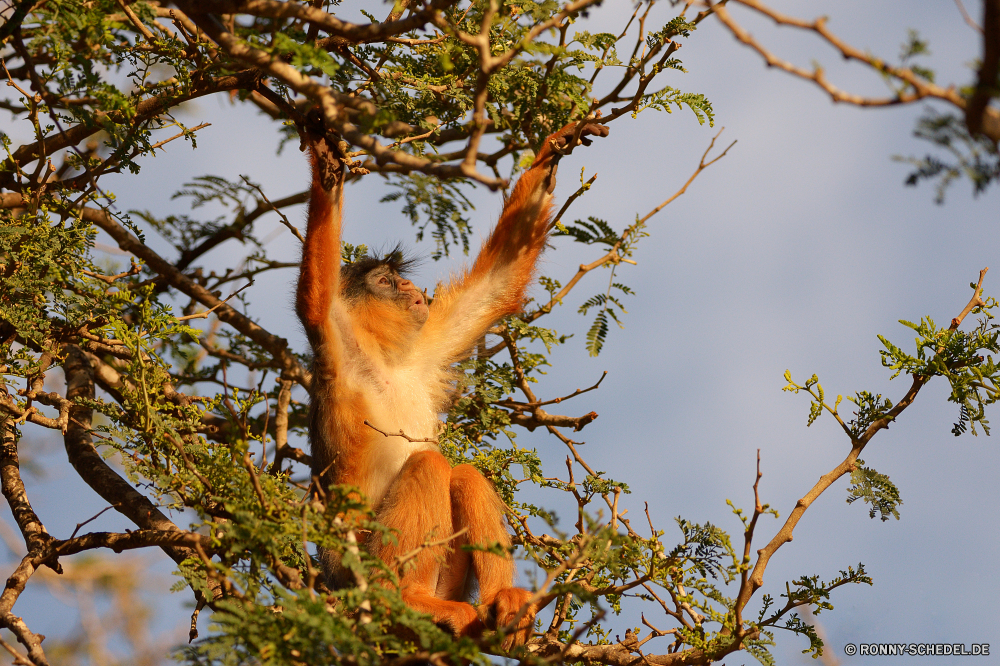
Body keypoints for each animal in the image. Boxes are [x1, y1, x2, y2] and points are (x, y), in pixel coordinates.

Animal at [296, 119, 608, 644]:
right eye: (385, 282)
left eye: (398, 281)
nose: (409, 289)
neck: (385, 362)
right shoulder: (338, 348)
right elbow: (313, 303)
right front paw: (326, 165)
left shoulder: (422, 354)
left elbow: (496, 287)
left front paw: (553, 152)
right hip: (364, 563)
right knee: (428, 465)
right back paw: (409, 600)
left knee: (462, 475)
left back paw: (502, 602)